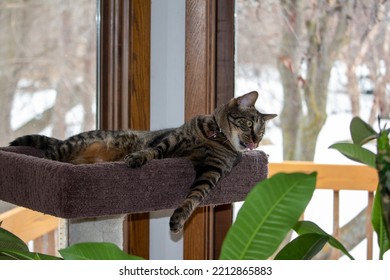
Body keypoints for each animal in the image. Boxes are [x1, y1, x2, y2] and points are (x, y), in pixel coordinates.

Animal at [9, 91, 278, 233]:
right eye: (248, 123)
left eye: (262, 132)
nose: (256, 141)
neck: (214, 138)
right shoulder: (174, 139)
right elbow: (153, 151)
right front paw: (138, 157)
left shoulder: (212, 171)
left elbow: (194, 198)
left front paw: (178, 219)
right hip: (70, 147)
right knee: (48, 155)